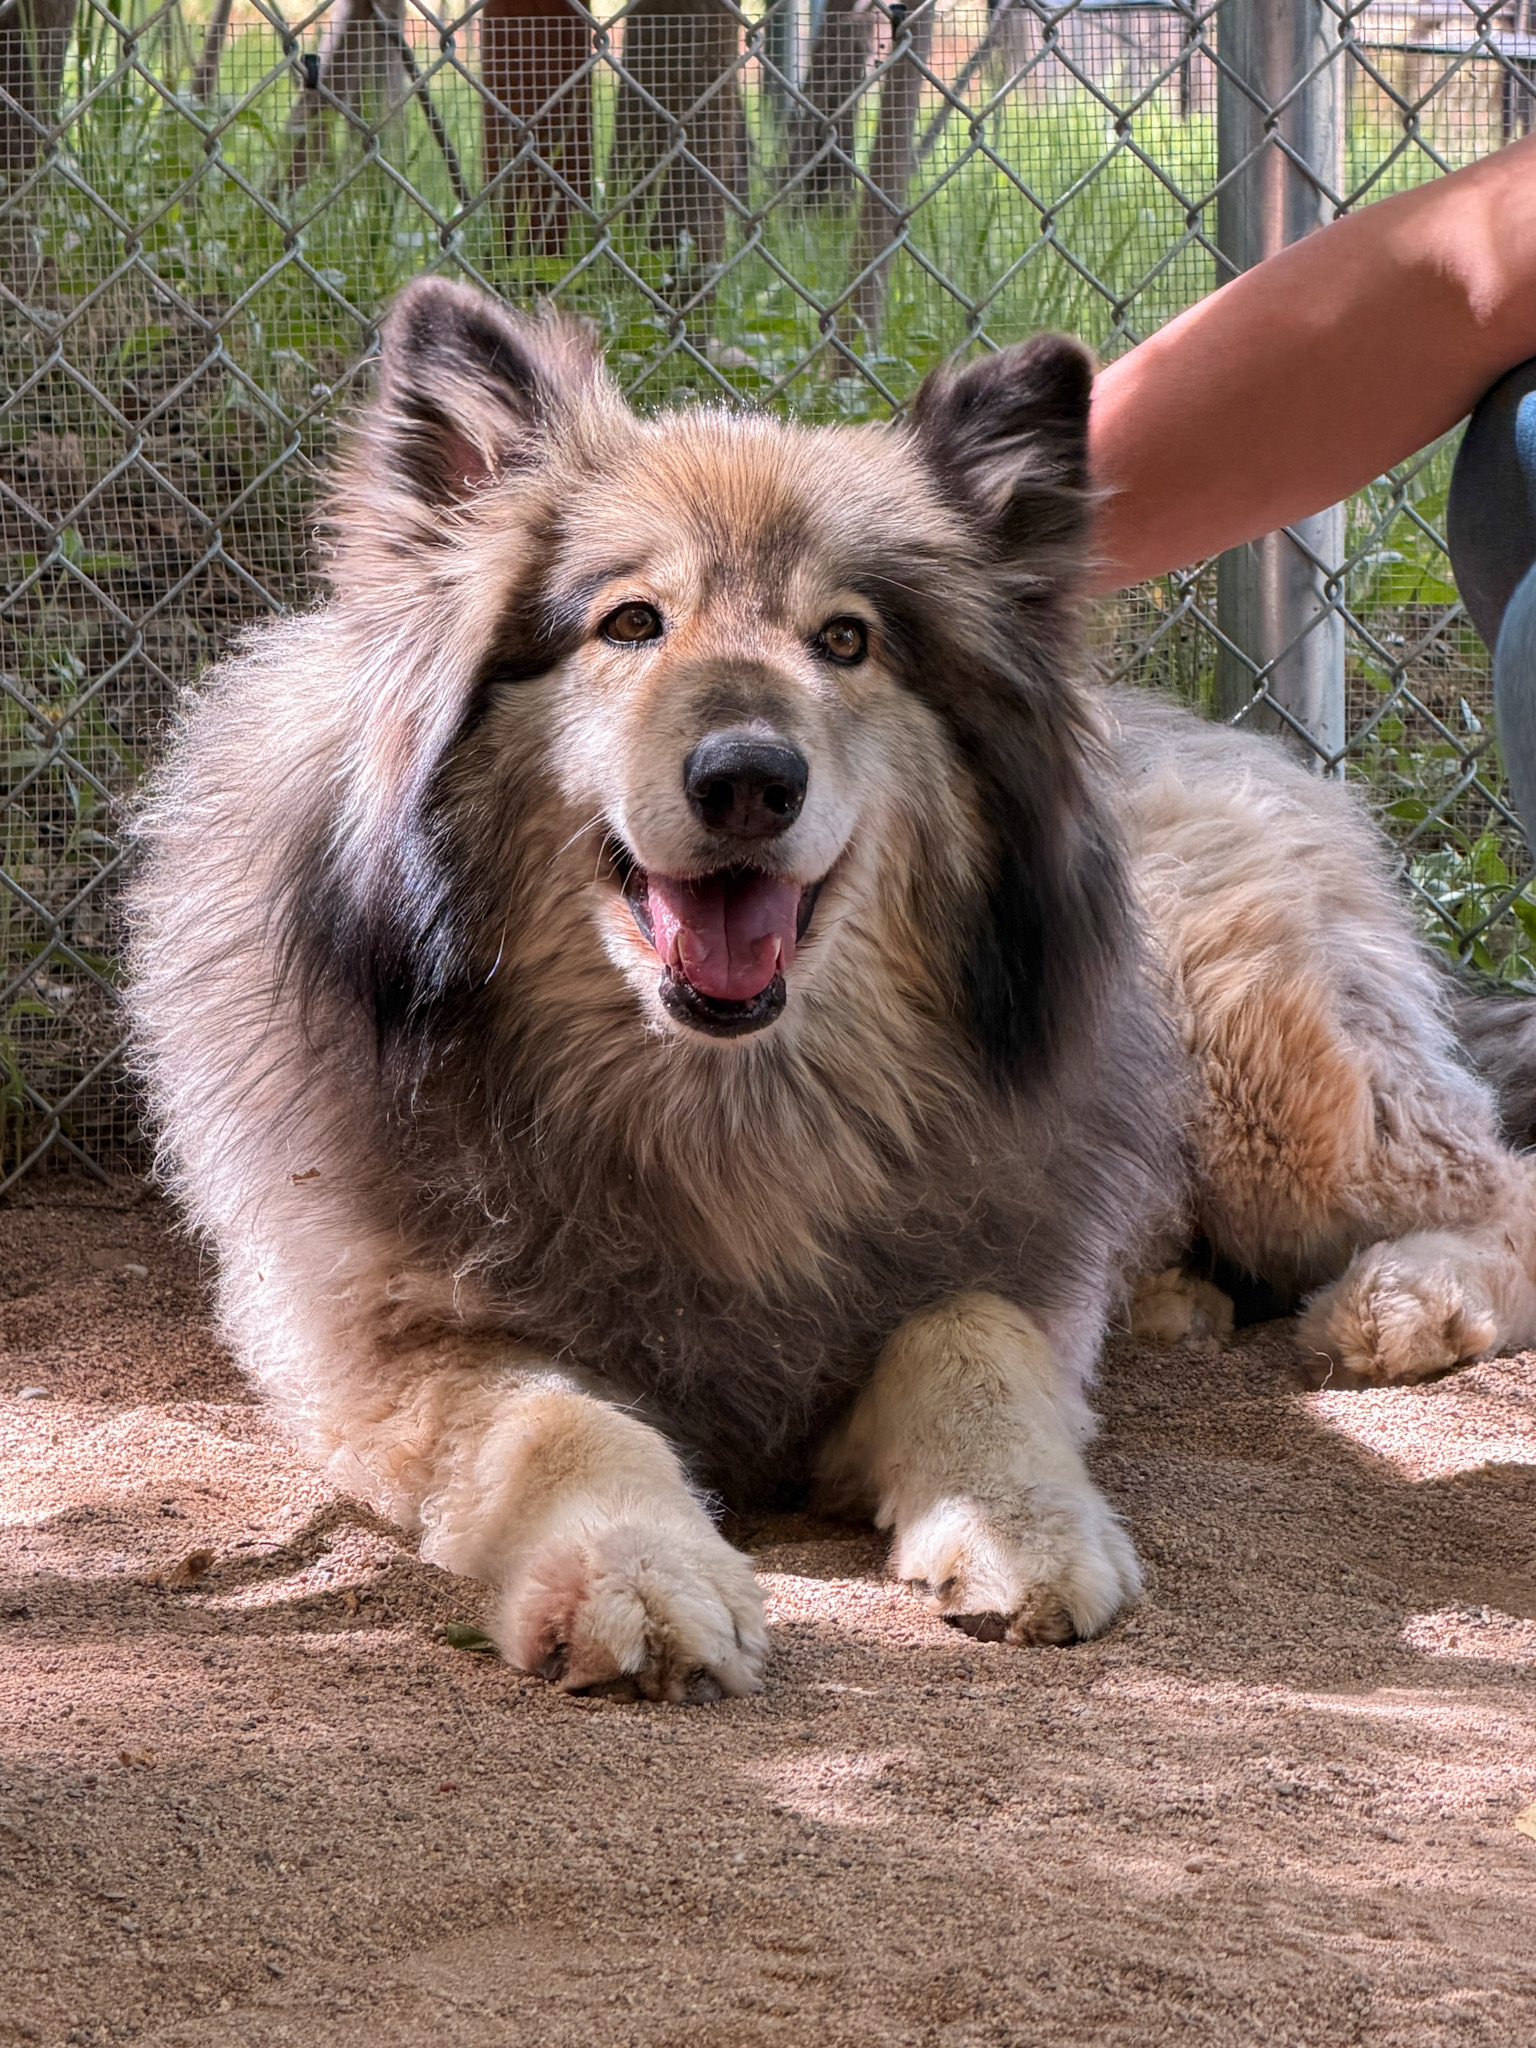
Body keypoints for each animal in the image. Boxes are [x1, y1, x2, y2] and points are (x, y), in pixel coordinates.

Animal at [126, 278, 1536, 1701]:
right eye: (630, 622)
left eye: (845, 639)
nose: (749, 776)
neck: (721, 1106)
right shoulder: (388, 1346)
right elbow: (558, 1420)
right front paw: (641, 1570)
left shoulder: (985, 1256)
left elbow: (976, 1348)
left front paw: (1027, 1522)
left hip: (1270, 1091)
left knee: (1494, 1184)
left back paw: (1405, 1301)